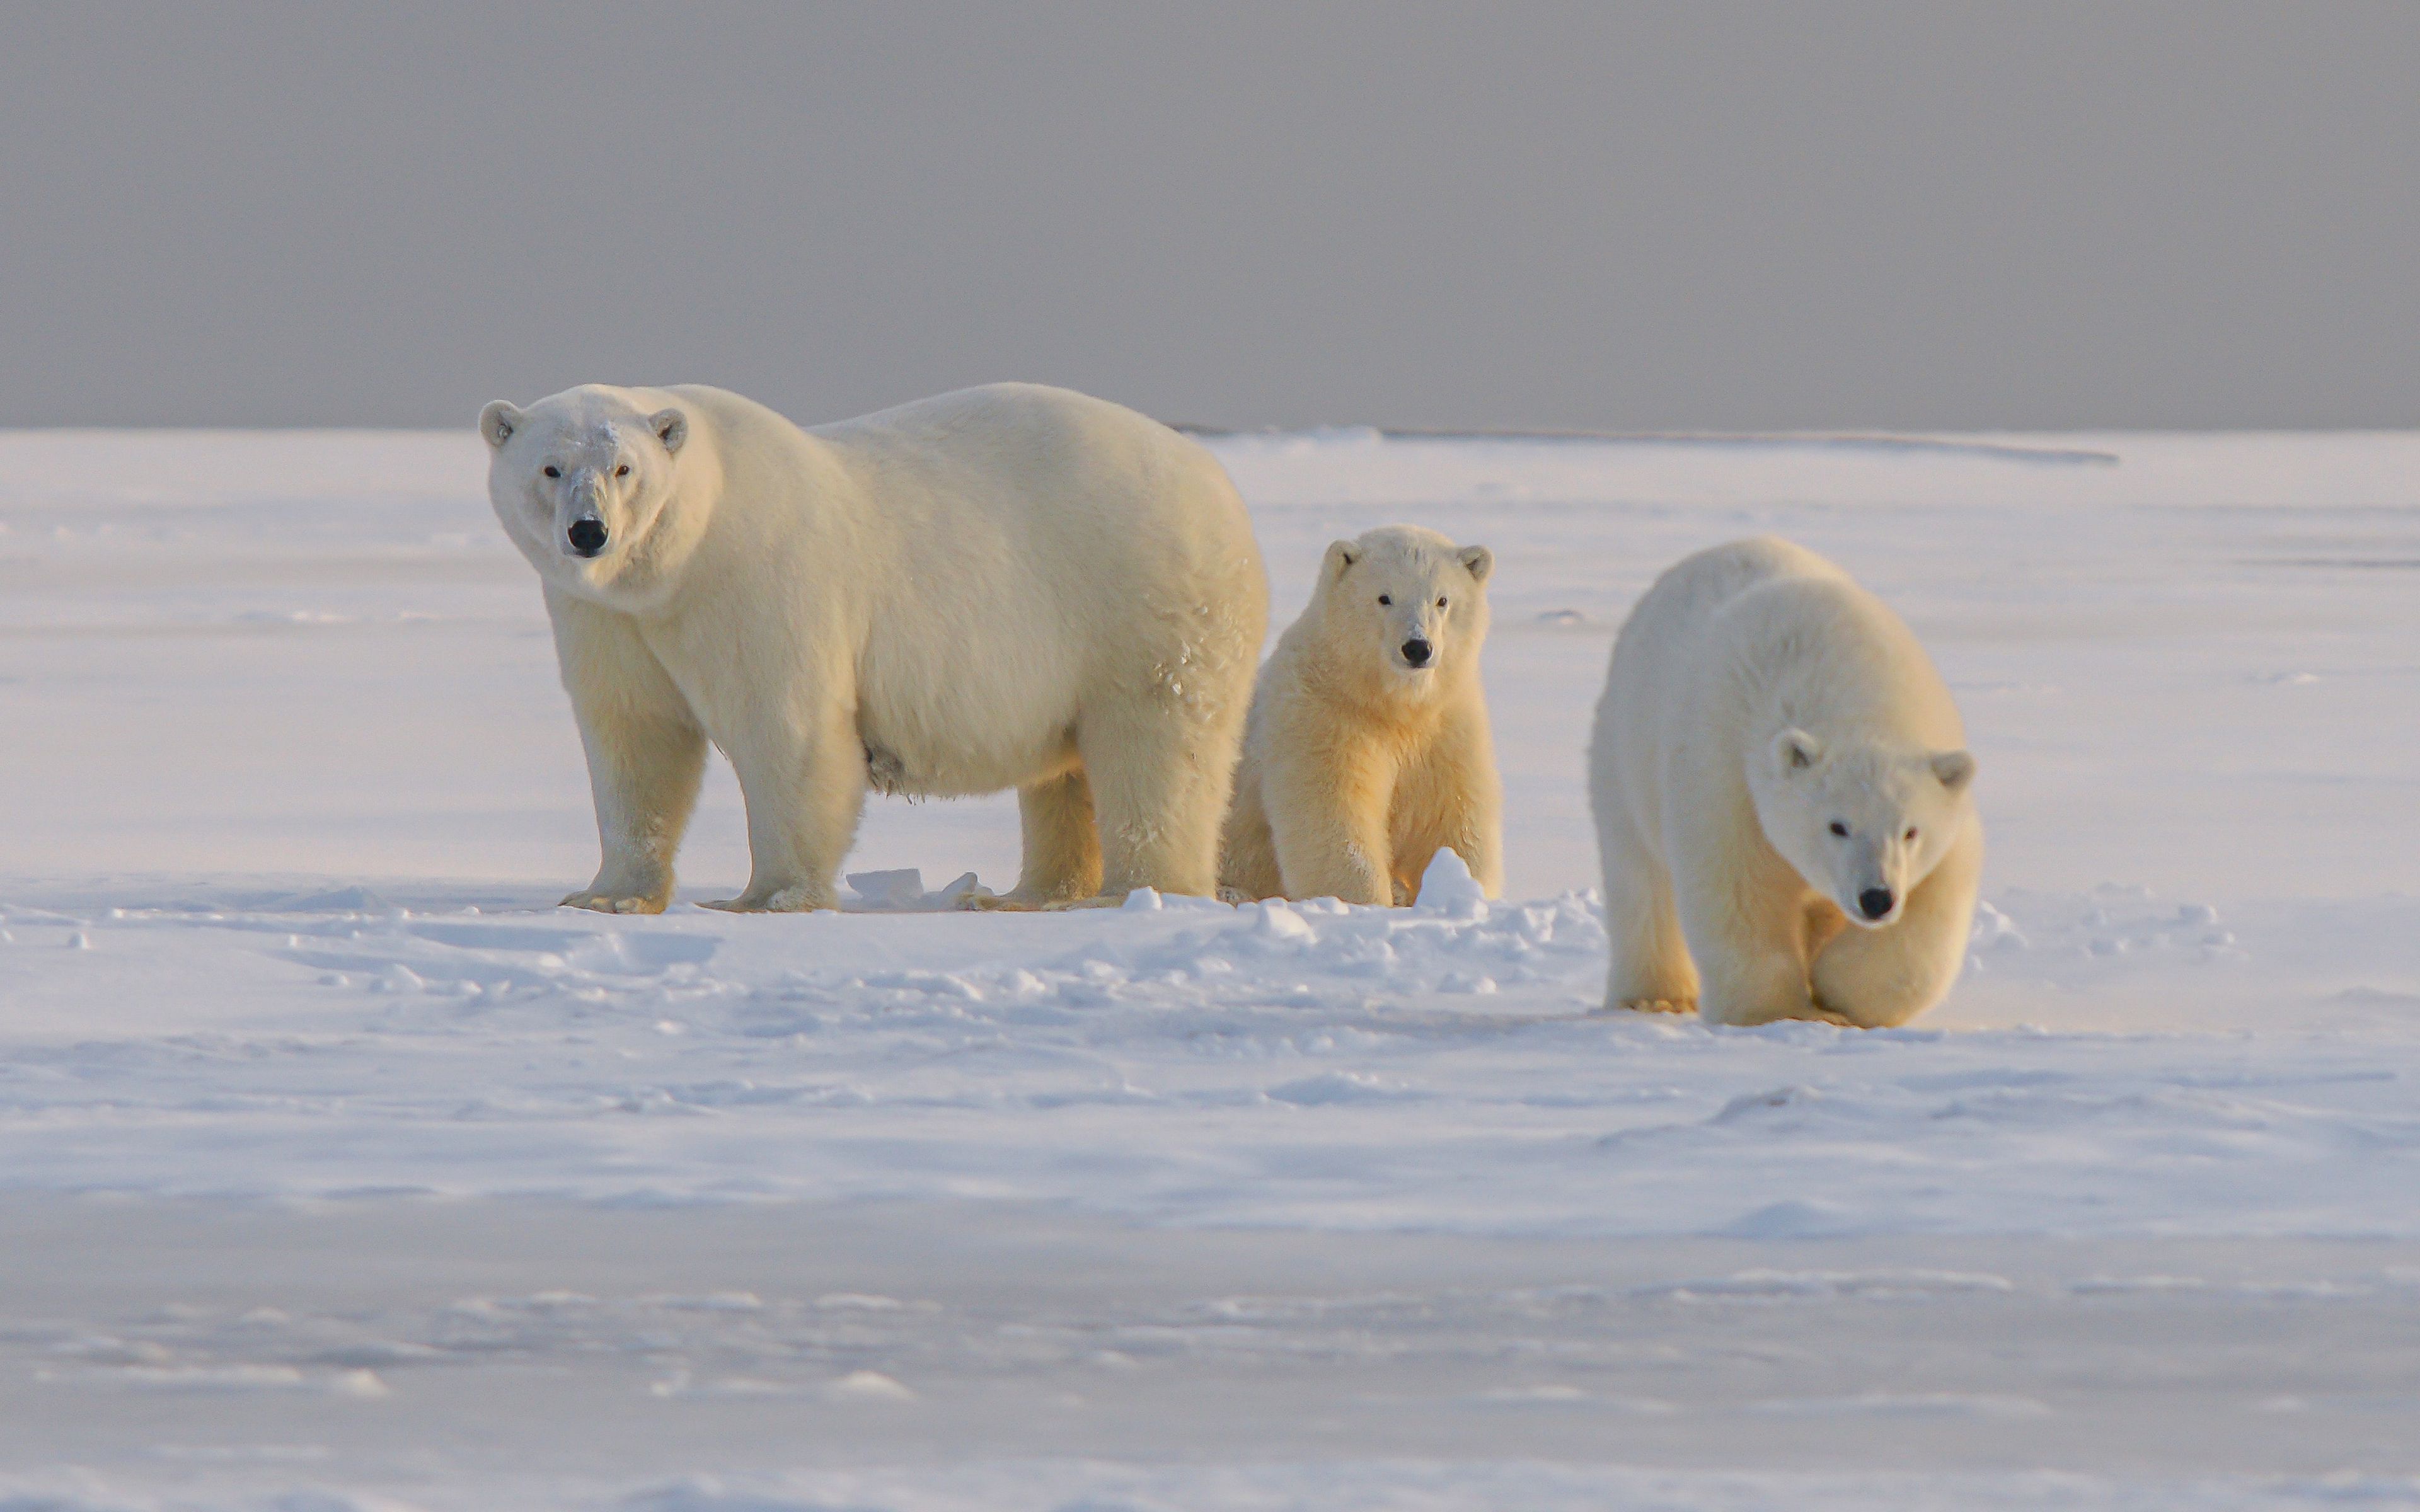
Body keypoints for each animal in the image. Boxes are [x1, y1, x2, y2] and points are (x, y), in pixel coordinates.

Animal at [471, 382, 1268, 914]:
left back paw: (1138, 891)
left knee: (1155, 746)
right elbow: (635, 739)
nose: (589, 532)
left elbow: (786, 731)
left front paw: (768, 897)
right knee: (1064, 772)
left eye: (624, 469)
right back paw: (1027, 894)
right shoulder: (606, 618)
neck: (681, 560)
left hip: (1141, 601)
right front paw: (606, 896)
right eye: (549, 468)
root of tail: (1218, 484)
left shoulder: (759, 581)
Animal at [1219, 525, 1500, 900]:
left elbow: (1450, 817)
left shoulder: (1446, 724)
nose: (1417, 648)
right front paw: (1366, 900)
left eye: (1442, 600)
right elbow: (1334, 816)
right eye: (1384, 597)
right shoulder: (1322, 715)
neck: (1388, 703)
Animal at [1587, 534, 1984, 1026]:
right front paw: (1780, 1011)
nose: (1876, 899)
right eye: (1837, 825)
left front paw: (1837, 992)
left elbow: (1934, 905)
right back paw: (1654, 997)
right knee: (1640, 880)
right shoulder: (1725, 771)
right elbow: (1738, 887)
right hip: (1623, 754)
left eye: (1911, 831)